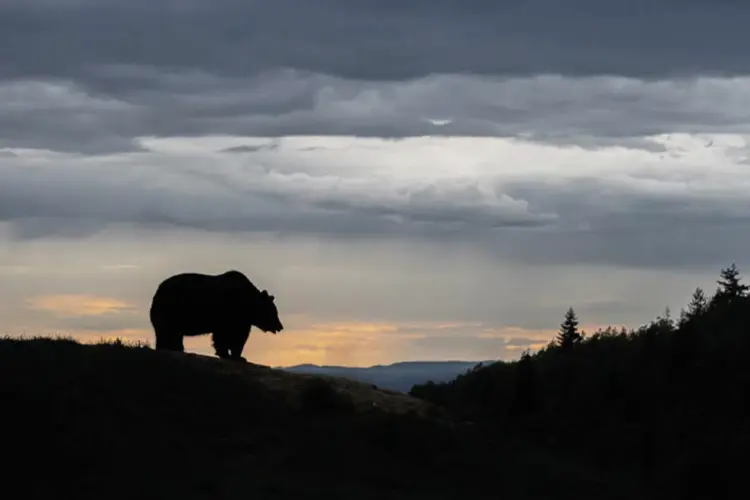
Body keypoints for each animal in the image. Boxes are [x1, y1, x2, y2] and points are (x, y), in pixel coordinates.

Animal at [149, 270, 283, 362]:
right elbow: (227, 336)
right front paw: (232, 355)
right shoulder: (229, 313)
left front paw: (237, 356)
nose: (280, 326)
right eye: (274, 312)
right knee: (167, 333)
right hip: (172, 311)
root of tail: (157, 292)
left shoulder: (242, 320)